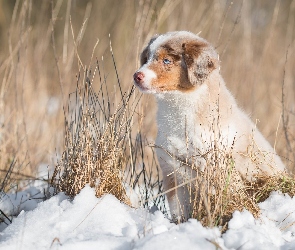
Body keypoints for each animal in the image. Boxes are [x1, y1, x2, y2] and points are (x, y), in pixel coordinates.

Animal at [133, 30, 286, 221]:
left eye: (166, 60)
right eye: (146, 58)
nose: (136, 76)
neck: (179, 108)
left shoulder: (216, 168)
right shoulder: (172, 169)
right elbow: (178, 209)